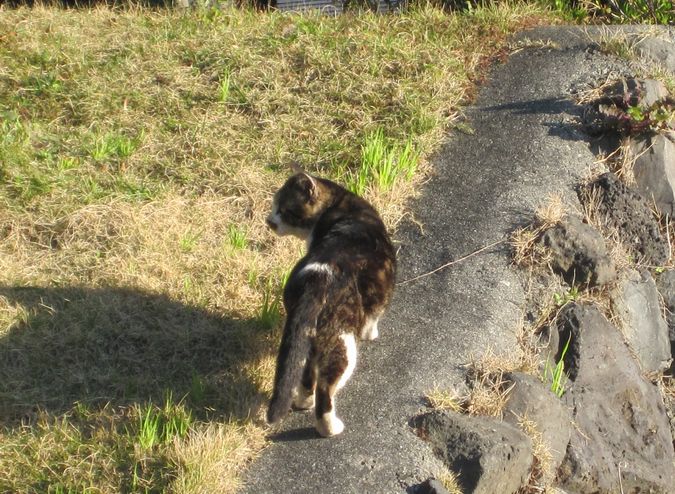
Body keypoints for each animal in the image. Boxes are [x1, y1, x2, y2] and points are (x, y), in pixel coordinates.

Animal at [266, 171, 398, 436]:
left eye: (283, 209)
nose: (269, 221)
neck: (342, 207)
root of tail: (316, 280)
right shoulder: (381, 294)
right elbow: (373, 319)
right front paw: (372, 335)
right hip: (341, 343)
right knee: (325, 389)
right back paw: (330, 428)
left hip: (310, 338)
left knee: (307, 376)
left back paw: (302, 402)